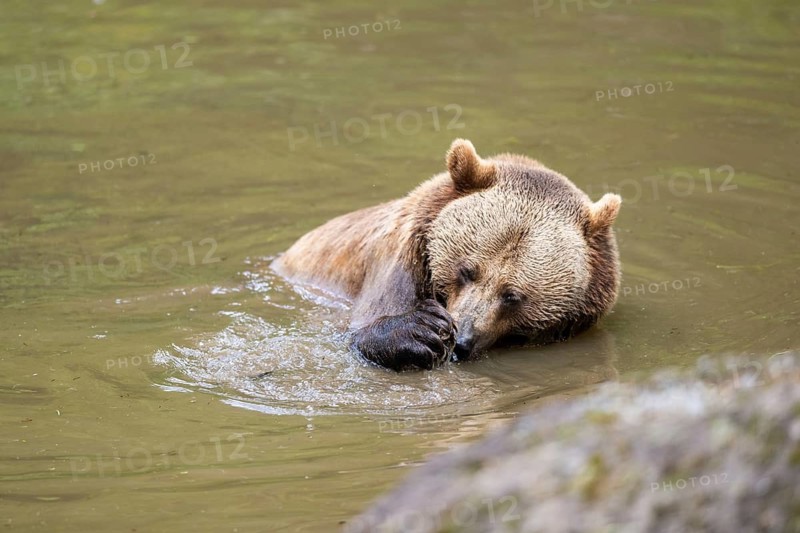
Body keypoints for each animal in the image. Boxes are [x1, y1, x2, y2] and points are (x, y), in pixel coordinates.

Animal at [271, 139, 621, 371]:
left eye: (512, 295)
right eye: (466, 270)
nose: (461, 339)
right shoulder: (399, 259)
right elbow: (363, 325)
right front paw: (422, 331)